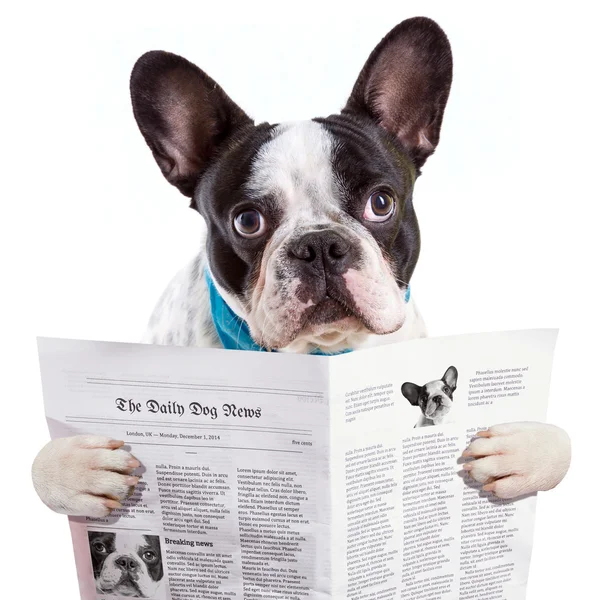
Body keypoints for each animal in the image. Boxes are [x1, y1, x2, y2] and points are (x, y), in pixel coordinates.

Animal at [31, 18, 572, 516]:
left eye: (381, 203)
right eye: (247, 220)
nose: (320, 246)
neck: (324, 351)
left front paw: (519, 451)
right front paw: (79, 470)